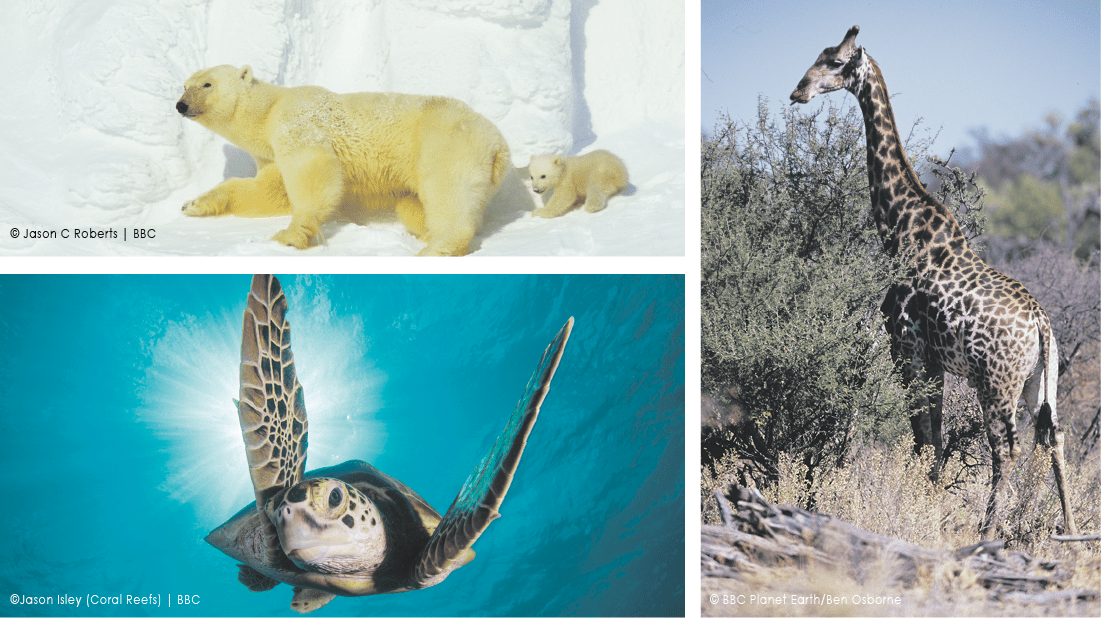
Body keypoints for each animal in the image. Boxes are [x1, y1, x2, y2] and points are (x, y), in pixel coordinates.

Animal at [176, 64, 510, 253]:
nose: (181, 105)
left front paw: (291, 234)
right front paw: (192, 204)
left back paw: (433, 249)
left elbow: (312, 168)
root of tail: (499, 145)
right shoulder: (268, 153)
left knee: (447, 193)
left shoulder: (295, 120)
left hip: (447, 144)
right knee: (418, 204)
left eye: (207, 84)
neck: (268, 111)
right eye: (185, 84)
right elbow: (268, 190)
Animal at [788, 25, 1078, 535]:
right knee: (1055, 438)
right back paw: (1072, 530)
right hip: (1037, 383)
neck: (898, 228)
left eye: (836, 62)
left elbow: (923, 443)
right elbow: (935, 448)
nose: (798, 91)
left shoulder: (906, 348)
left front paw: (919, 516)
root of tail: (1042, 326)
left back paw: (988, 531)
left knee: (1007, 449)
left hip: (995, 385)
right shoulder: (935, 362)